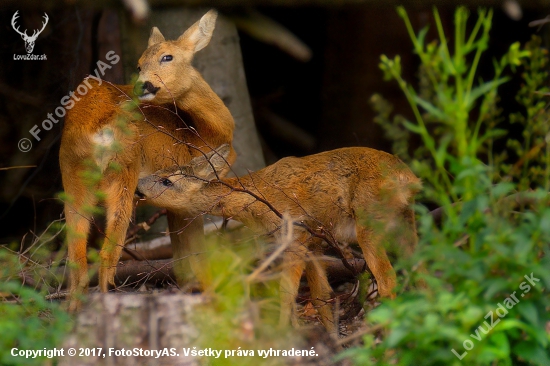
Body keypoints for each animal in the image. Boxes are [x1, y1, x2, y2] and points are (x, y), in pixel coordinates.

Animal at [60, 10, 237, 310]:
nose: (141, 84)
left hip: (72, 178)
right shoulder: (186, 190)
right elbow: (194, 255)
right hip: (123, 174)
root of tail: (95, 128)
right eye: (139, 64)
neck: (203, 133)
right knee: (107, 255)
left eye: (167, 57)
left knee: (77, 261)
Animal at [136, 144, 420, 334]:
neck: (255, 200)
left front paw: (284, 332)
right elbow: (320, 294)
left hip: (369, 220)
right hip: (405, 221)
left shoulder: (295, 232)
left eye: (167, 181)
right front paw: (331, 338)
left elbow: (286, 290)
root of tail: (408, 179)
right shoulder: (314, 241)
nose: (138, 186)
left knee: (388, 280)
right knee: (422, 265)